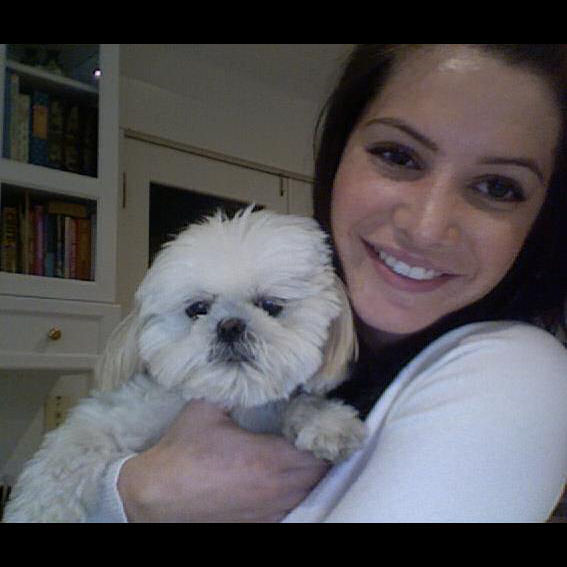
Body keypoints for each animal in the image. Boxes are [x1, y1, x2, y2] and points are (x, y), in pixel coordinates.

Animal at [4, 207, 366, 522]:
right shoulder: (113, 416)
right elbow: (70, 452)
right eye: (197, 309)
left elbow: (298, 405)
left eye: (271, 306)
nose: (230, 326)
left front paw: (326, 421)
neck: (233, 401)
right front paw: (38, 512)